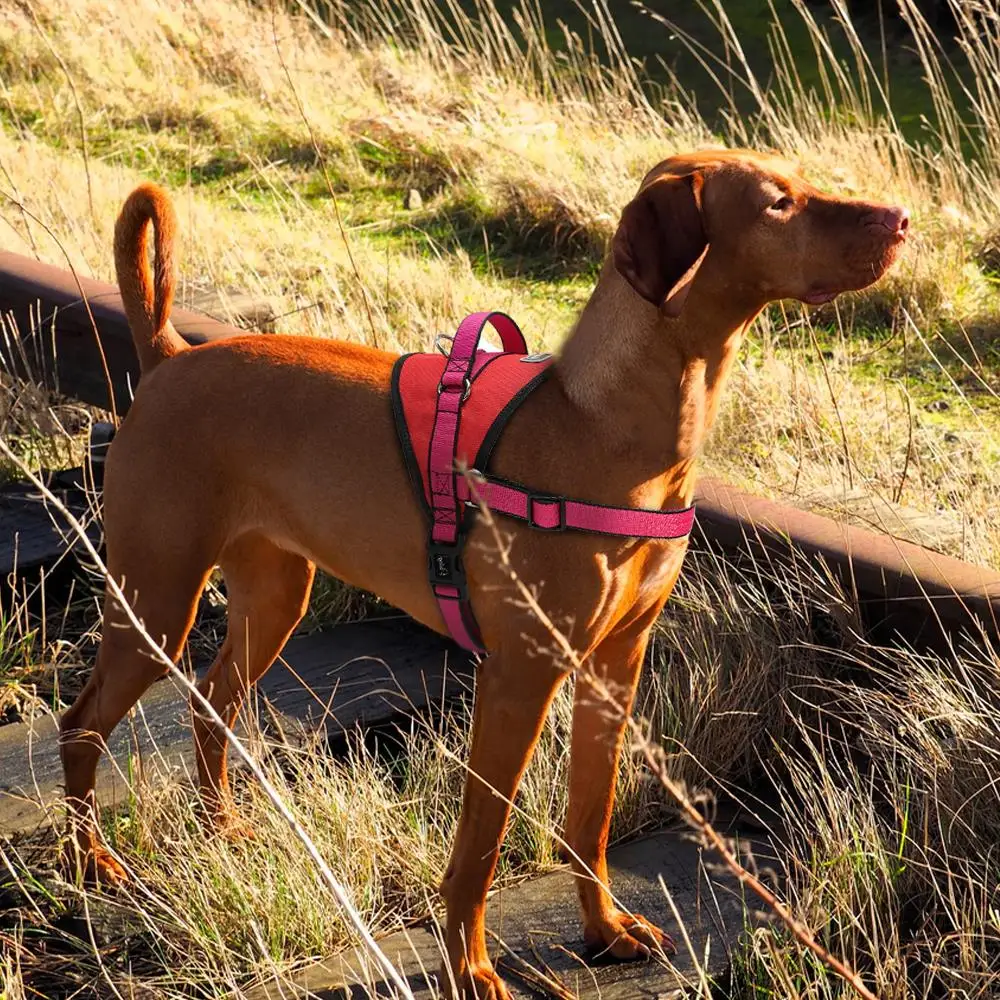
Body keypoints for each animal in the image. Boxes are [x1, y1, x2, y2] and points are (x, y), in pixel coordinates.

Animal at [60, 150, 908, 1000]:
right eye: (777, 204)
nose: (901, 218)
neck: (603, 424)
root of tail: (171, 355)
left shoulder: (616, 664)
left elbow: (590, 817)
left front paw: (604, 929)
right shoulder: (518, 679)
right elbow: (481, 845)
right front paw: (469, 968)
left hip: (273, 597)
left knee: (211, 702)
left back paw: (222, 829)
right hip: (155, 600)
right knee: (82, 723)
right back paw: (89, 862)